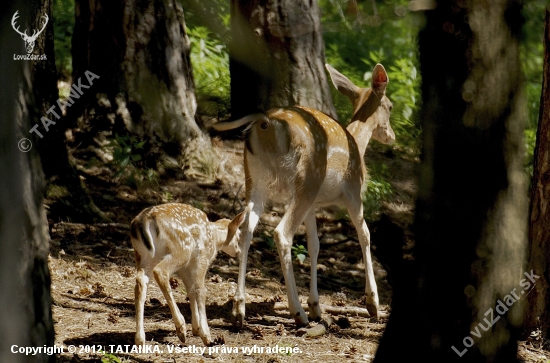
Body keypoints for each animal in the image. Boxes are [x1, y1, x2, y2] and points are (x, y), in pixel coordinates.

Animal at [212, 62, 396, 328]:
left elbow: (314, 245)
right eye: (390, 107)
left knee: (246, 229)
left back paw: (239, 310)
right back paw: (297, 312)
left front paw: (317, 306)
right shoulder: (353, 192)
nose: (391, 136)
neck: (358, 145)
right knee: (282, 233)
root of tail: (266, 122)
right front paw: (373, 303)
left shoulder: (314, 204)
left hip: (255, 180)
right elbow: (365, 235)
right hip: (307, 179)